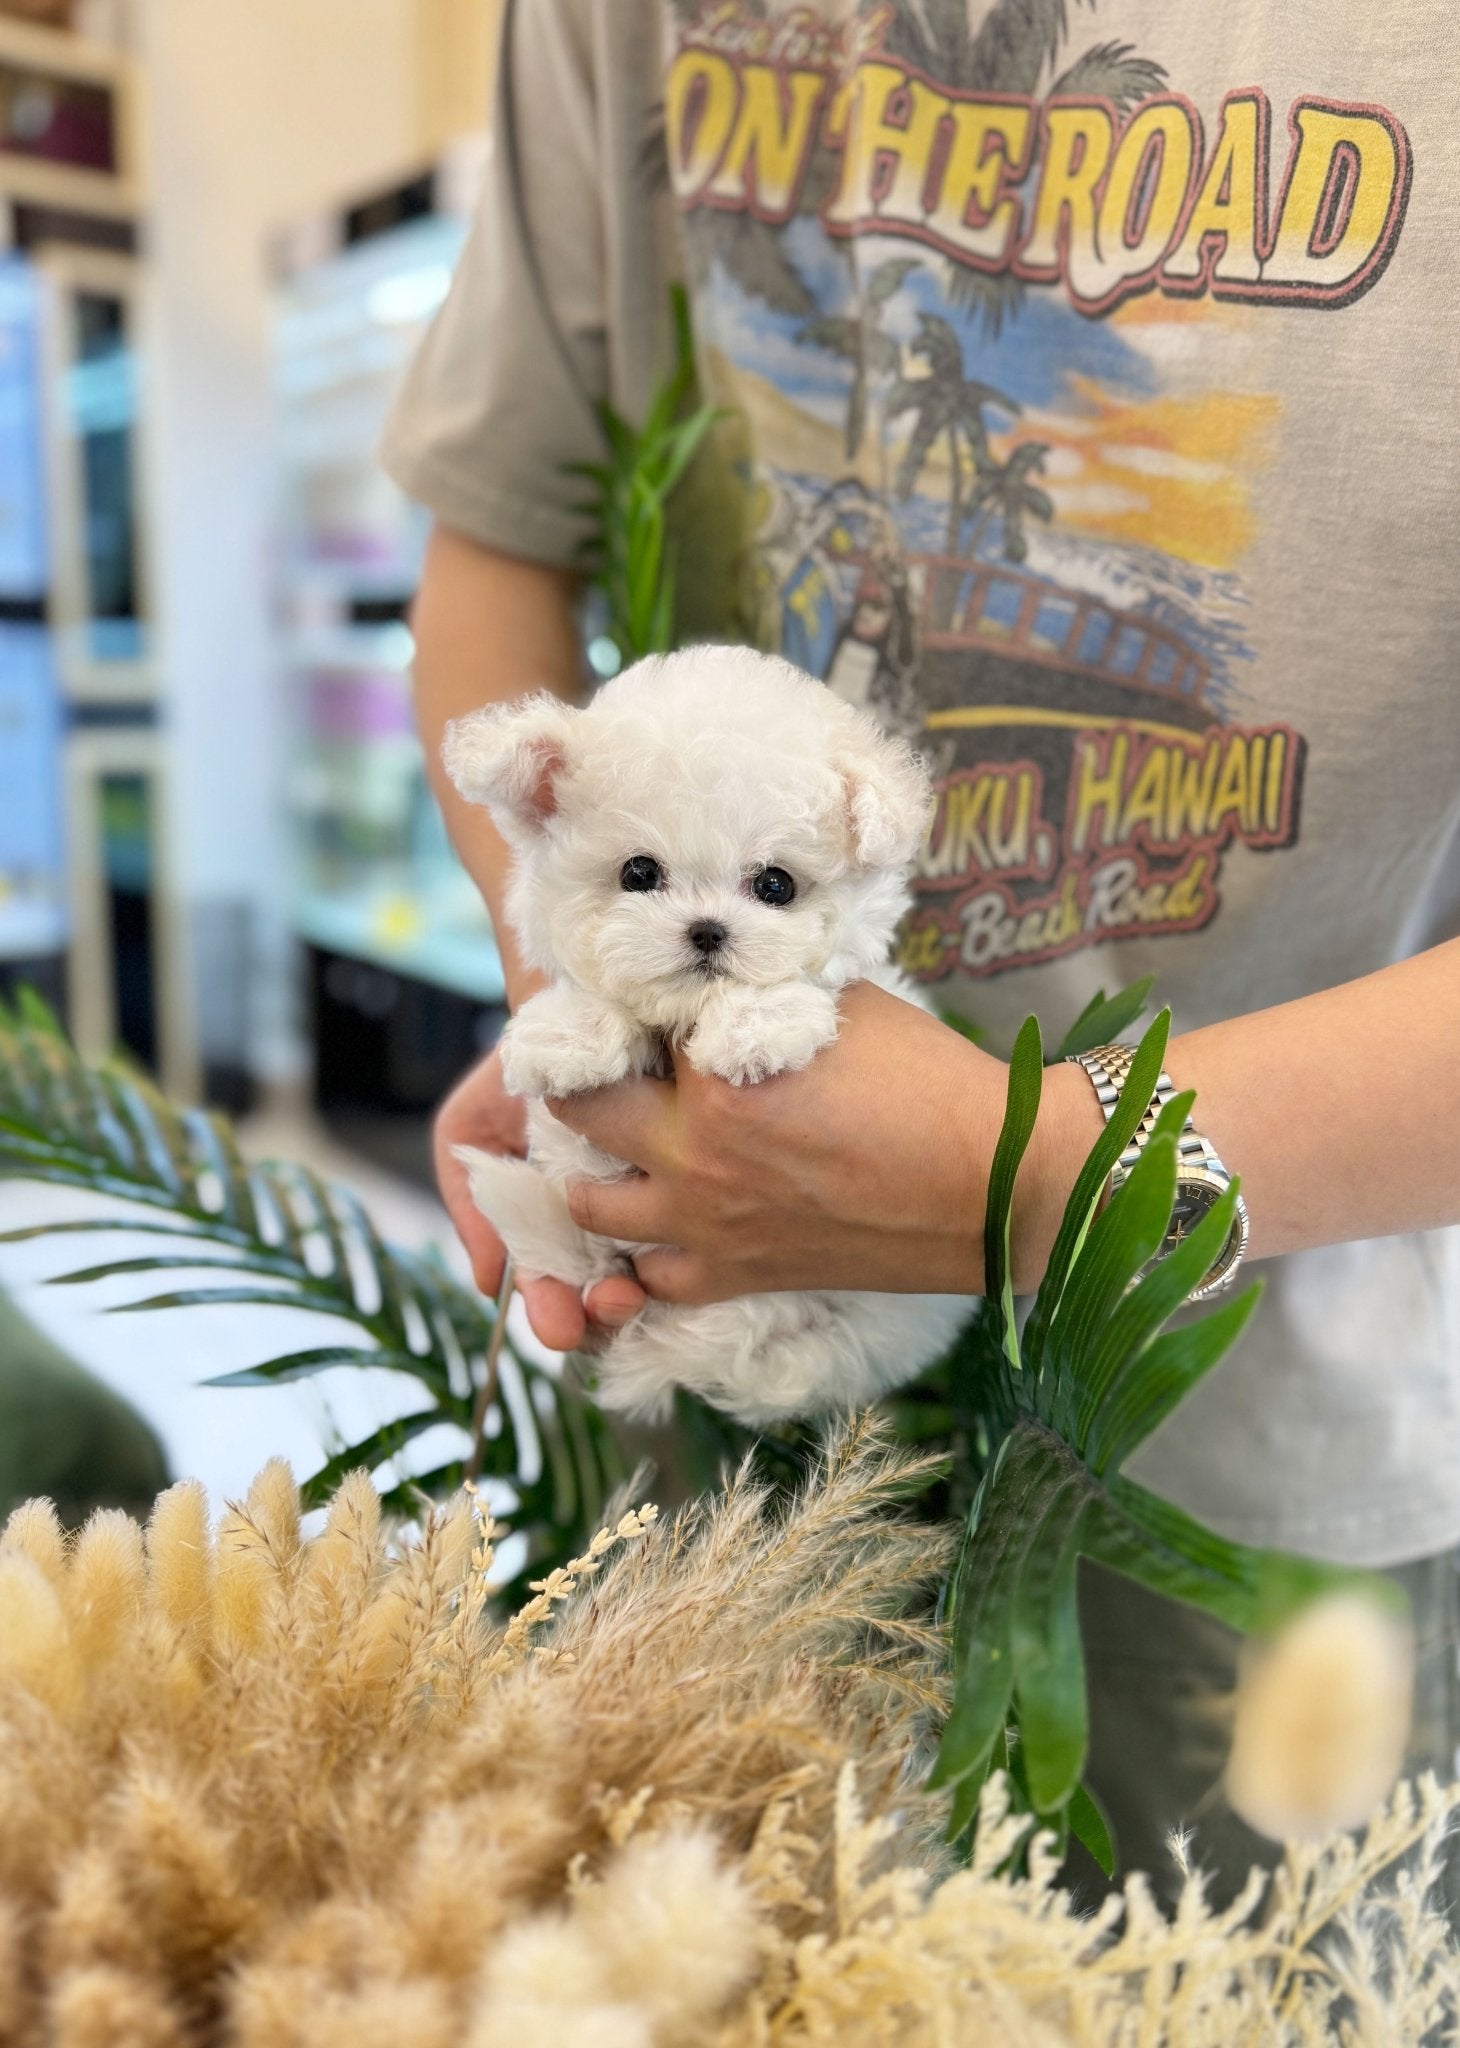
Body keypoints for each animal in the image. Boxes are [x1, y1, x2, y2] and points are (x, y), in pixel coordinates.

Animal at [444, 643, 966, 1425]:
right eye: (638, 872)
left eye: (776, 885)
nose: (707, 930)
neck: (684, 1017)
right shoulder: (581, 1160)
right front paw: (570, 1035)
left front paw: (755, 1029)